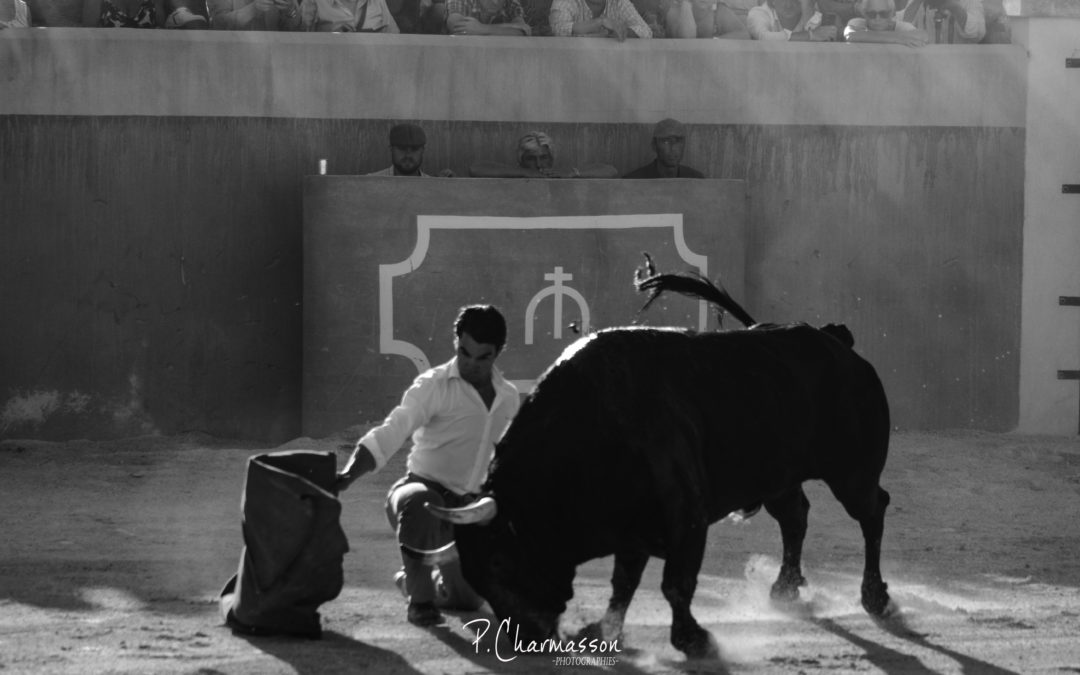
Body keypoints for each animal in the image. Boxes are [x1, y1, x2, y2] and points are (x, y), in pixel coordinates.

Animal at [425, 270, 889, 656]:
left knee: (871, 511)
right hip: (777, 477)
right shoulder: (631, 529)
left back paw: (875, 596)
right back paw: (784, 590)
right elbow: (623, 584)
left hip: (853, 472)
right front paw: (604, 631)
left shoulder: (686, 520)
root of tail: (837, 342)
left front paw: (693, 639)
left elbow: (674, 585)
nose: (528, 637)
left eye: (499, 561)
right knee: (795, 517)